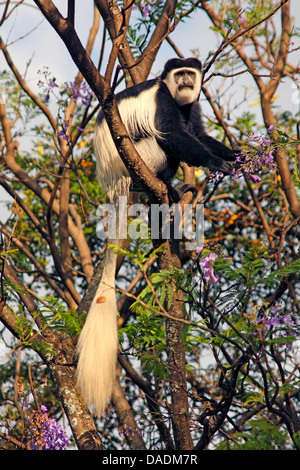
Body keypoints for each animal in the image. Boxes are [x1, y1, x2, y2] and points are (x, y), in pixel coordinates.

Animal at [76, 57, 236, 414]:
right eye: (180, 74)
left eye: (191, 73)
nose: (188, 80)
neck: (176, 96)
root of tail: (116, 183)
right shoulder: (163, 100)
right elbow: (175, 134)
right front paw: (216, 161)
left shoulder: (191, 104)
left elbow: (198, 133)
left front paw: (234, 154)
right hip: (141, 157)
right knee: (162, 141)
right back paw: (165, 185)